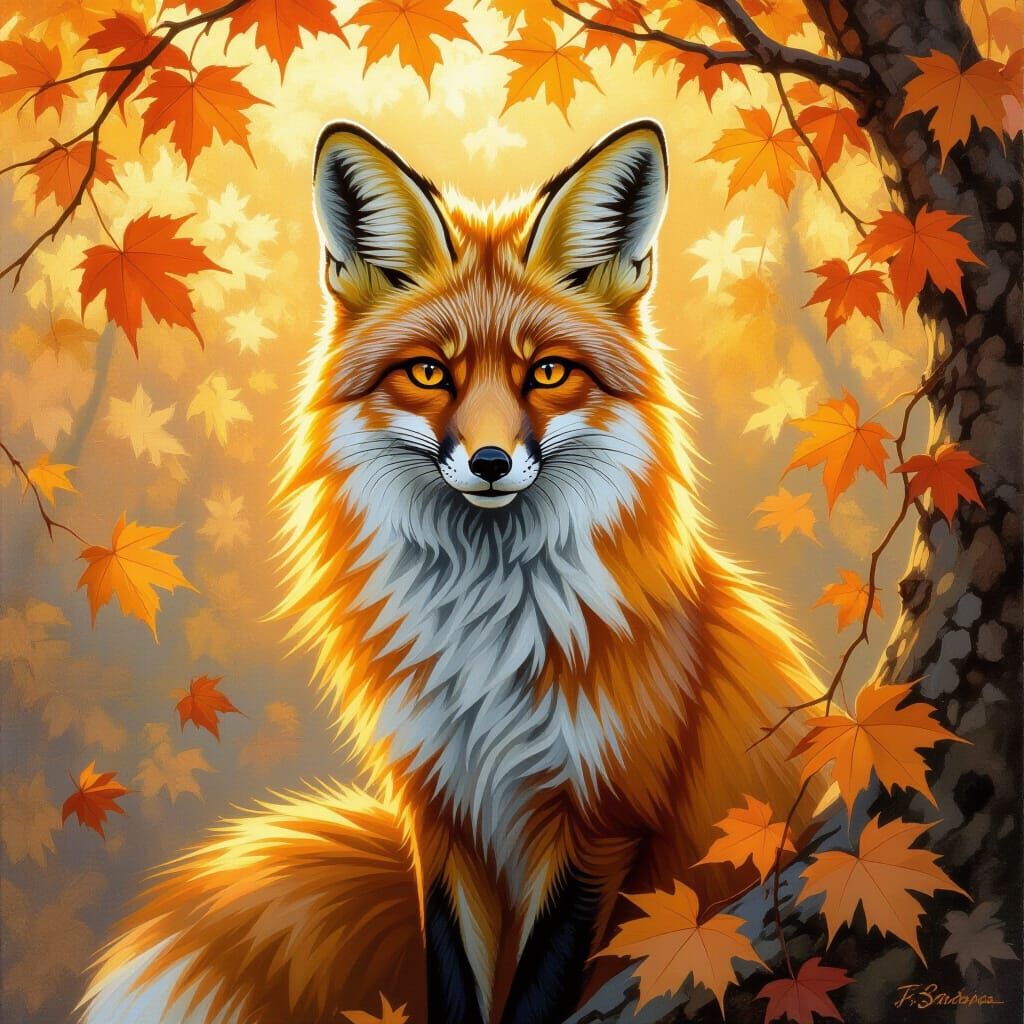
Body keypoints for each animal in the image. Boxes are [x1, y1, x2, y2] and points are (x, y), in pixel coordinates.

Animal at [79, 120, 826, 1024]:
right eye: (431, 372)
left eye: (547, 372)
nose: (492, 462)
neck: (485, 641)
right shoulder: (437, 812)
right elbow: (455, 981)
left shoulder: (601, 816)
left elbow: (538, 990)